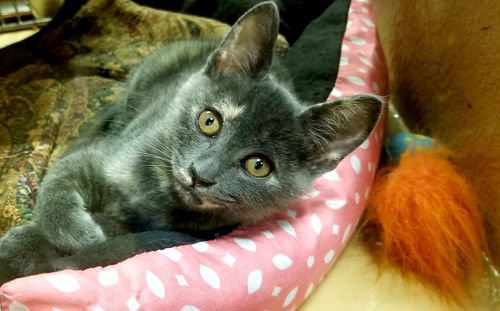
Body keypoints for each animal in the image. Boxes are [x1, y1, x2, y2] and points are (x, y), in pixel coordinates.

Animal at [0, 0, 378, 282]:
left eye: (258, 166)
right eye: (209, 121)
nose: (200, 174)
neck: (156, 188)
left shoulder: (147, 226)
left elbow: (111, 230)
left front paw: (24, 248)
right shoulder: (107, 155)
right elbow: (60, 182)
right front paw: (76, 232)